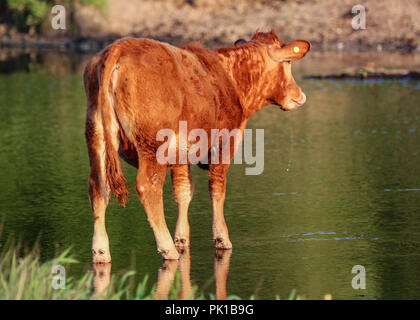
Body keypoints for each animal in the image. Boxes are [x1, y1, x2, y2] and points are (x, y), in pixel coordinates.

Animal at [83, 29, 310, 262]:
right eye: (288, 62)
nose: (300, 95)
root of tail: (119, 47)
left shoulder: (181, 155)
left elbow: (184, 191)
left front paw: (182, 238)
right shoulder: (223, 145)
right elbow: (217, 190)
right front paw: (221, 238)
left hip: (96, 135)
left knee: (98, 187)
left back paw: (101, 251)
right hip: (152, 144)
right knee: (147, 187)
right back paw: (167, 248)